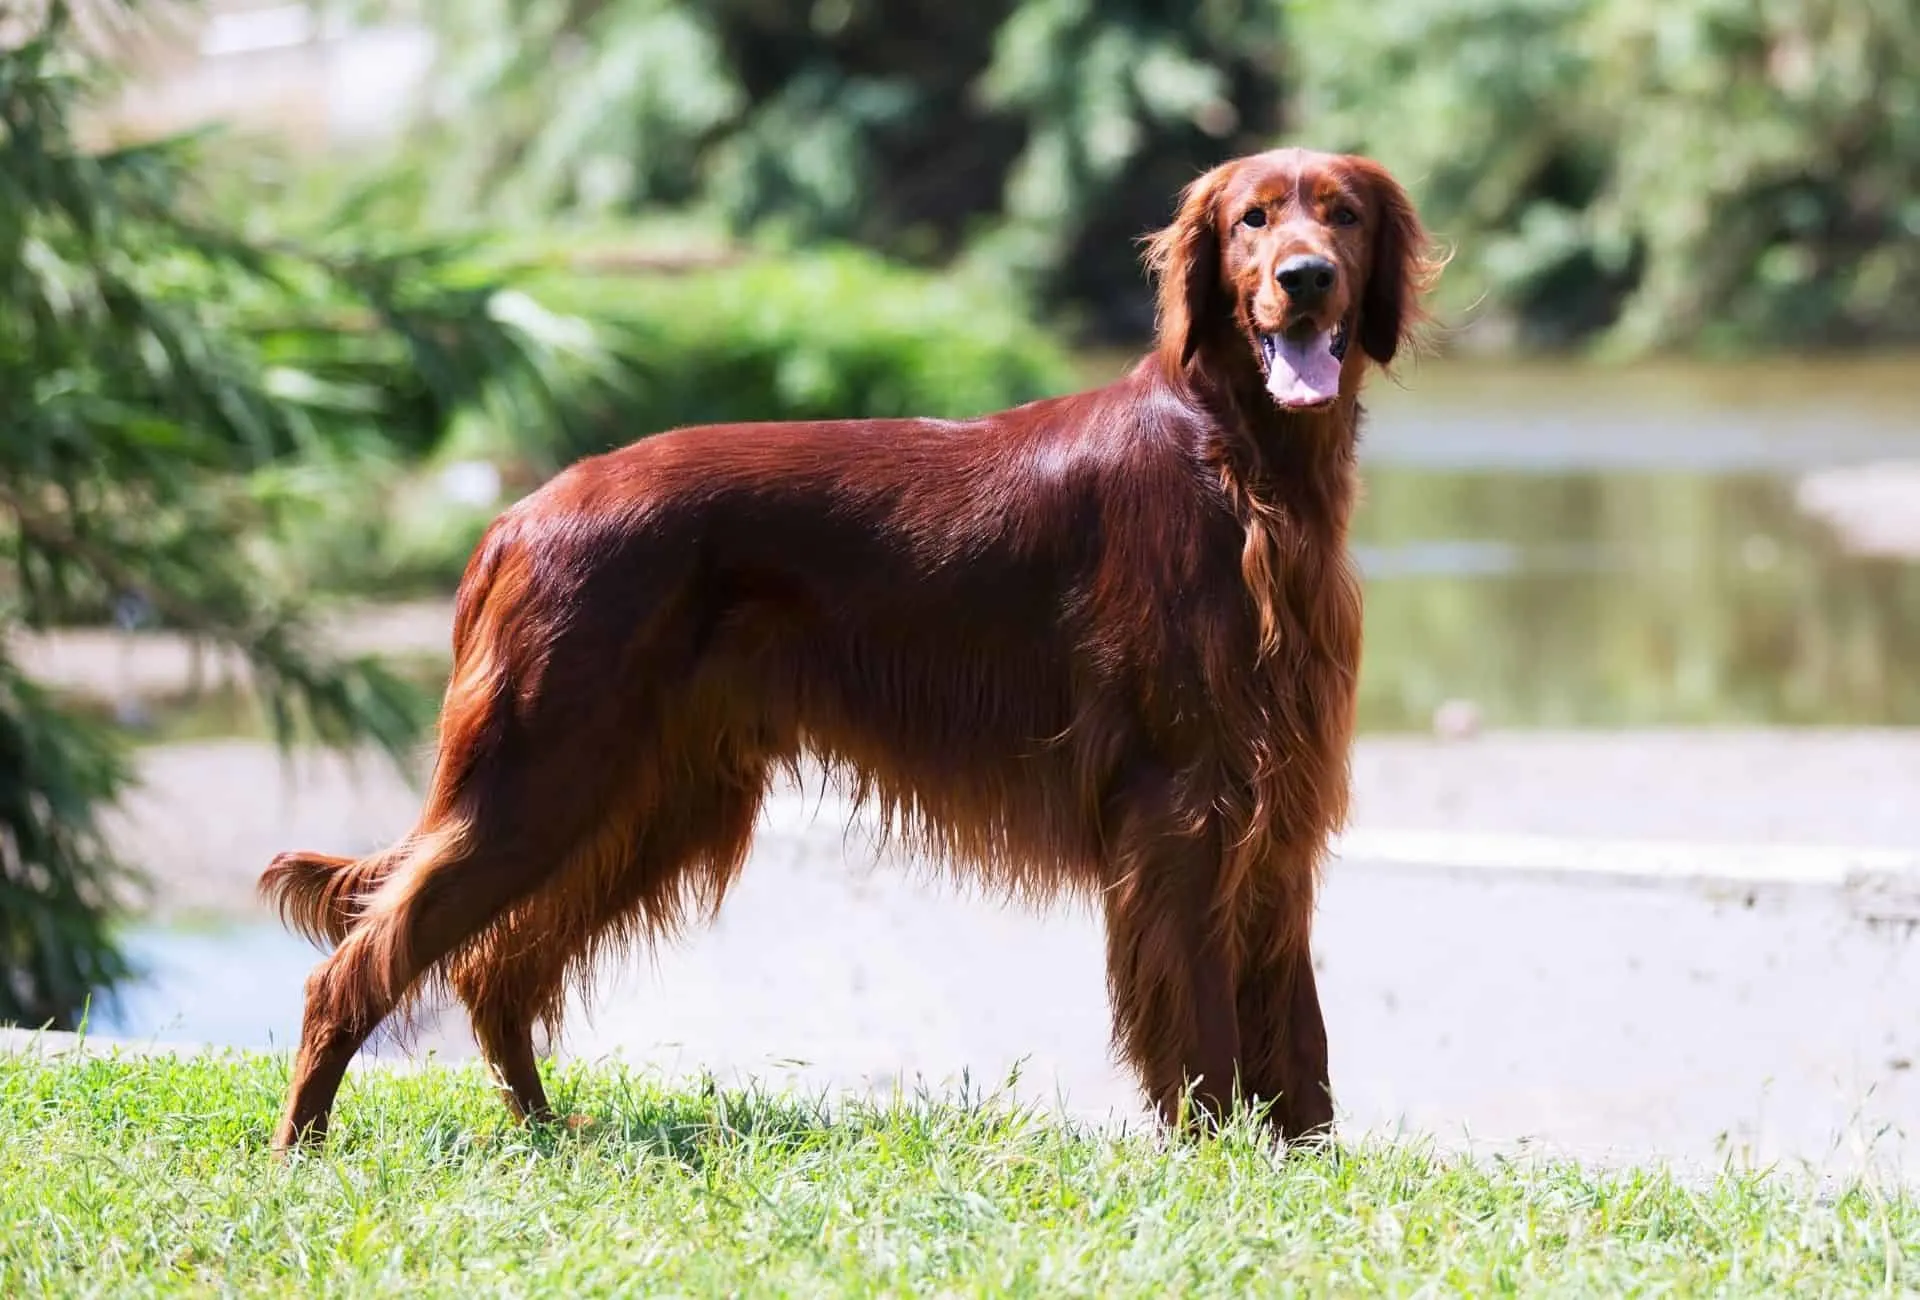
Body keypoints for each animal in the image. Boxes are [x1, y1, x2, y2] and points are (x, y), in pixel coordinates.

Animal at [270, 146, 1443, 1152]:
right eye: (1253, 218)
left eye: (1342, 213)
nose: (1304, 279)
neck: (1240, 464)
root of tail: (517, 515)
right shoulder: (1182, 800)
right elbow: (1201, 1023)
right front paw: (1212, 1156)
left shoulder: (1277, 798)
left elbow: (1298, 1033)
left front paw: (1303, 1166)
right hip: (541, 778)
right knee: (358, 966)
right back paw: (302, 1148)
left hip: (647, 800)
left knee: (494, 973)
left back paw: (543, 1127)